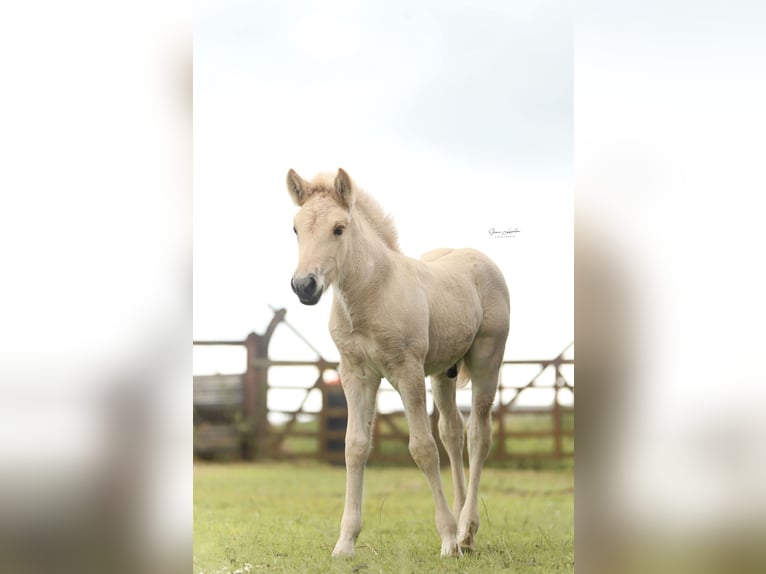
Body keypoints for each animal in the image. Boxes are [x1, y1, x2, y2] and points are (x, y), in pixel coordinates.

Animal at [285, 168, 510, 557]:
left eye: (339, 228)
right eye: (296, 228)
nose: (304, 286)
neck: (373, 293)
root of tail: (479, 259)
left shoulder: (407, 372)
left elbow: (422, 449)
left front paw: (447, 540)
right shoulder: (355, 375)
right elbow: (354, 447)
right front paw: (345, 544)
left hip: (486, 361)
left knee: (479, 435)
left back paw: (466, 531)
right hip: (443, 374)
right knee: (452, 431)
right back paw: (463, 528)